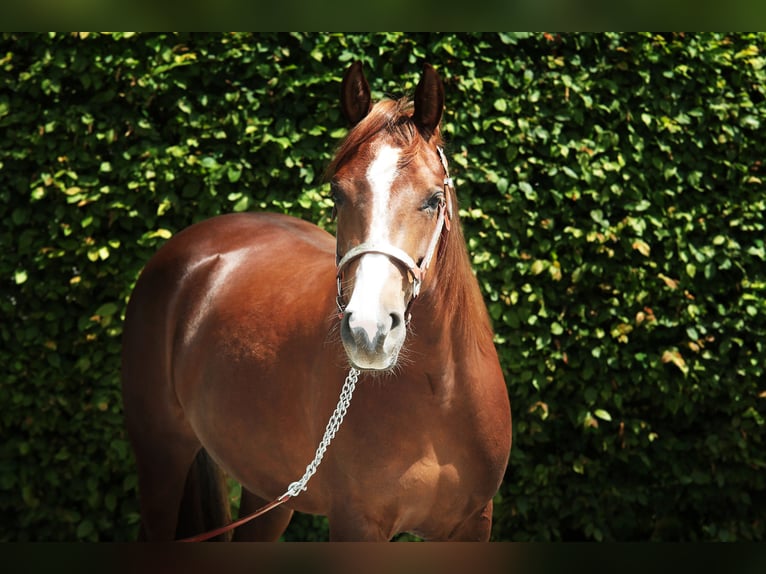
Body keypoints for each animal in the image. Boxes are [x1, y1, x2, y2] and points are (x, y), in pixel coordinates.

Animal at [123, 64, 512, 544]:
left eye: (433, 199)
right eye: (337, 195)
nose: (369, 332)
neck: (439, 394)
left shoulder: (474, 523)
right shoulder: (356, 523)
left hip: (267, 490)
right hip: (160, 459)